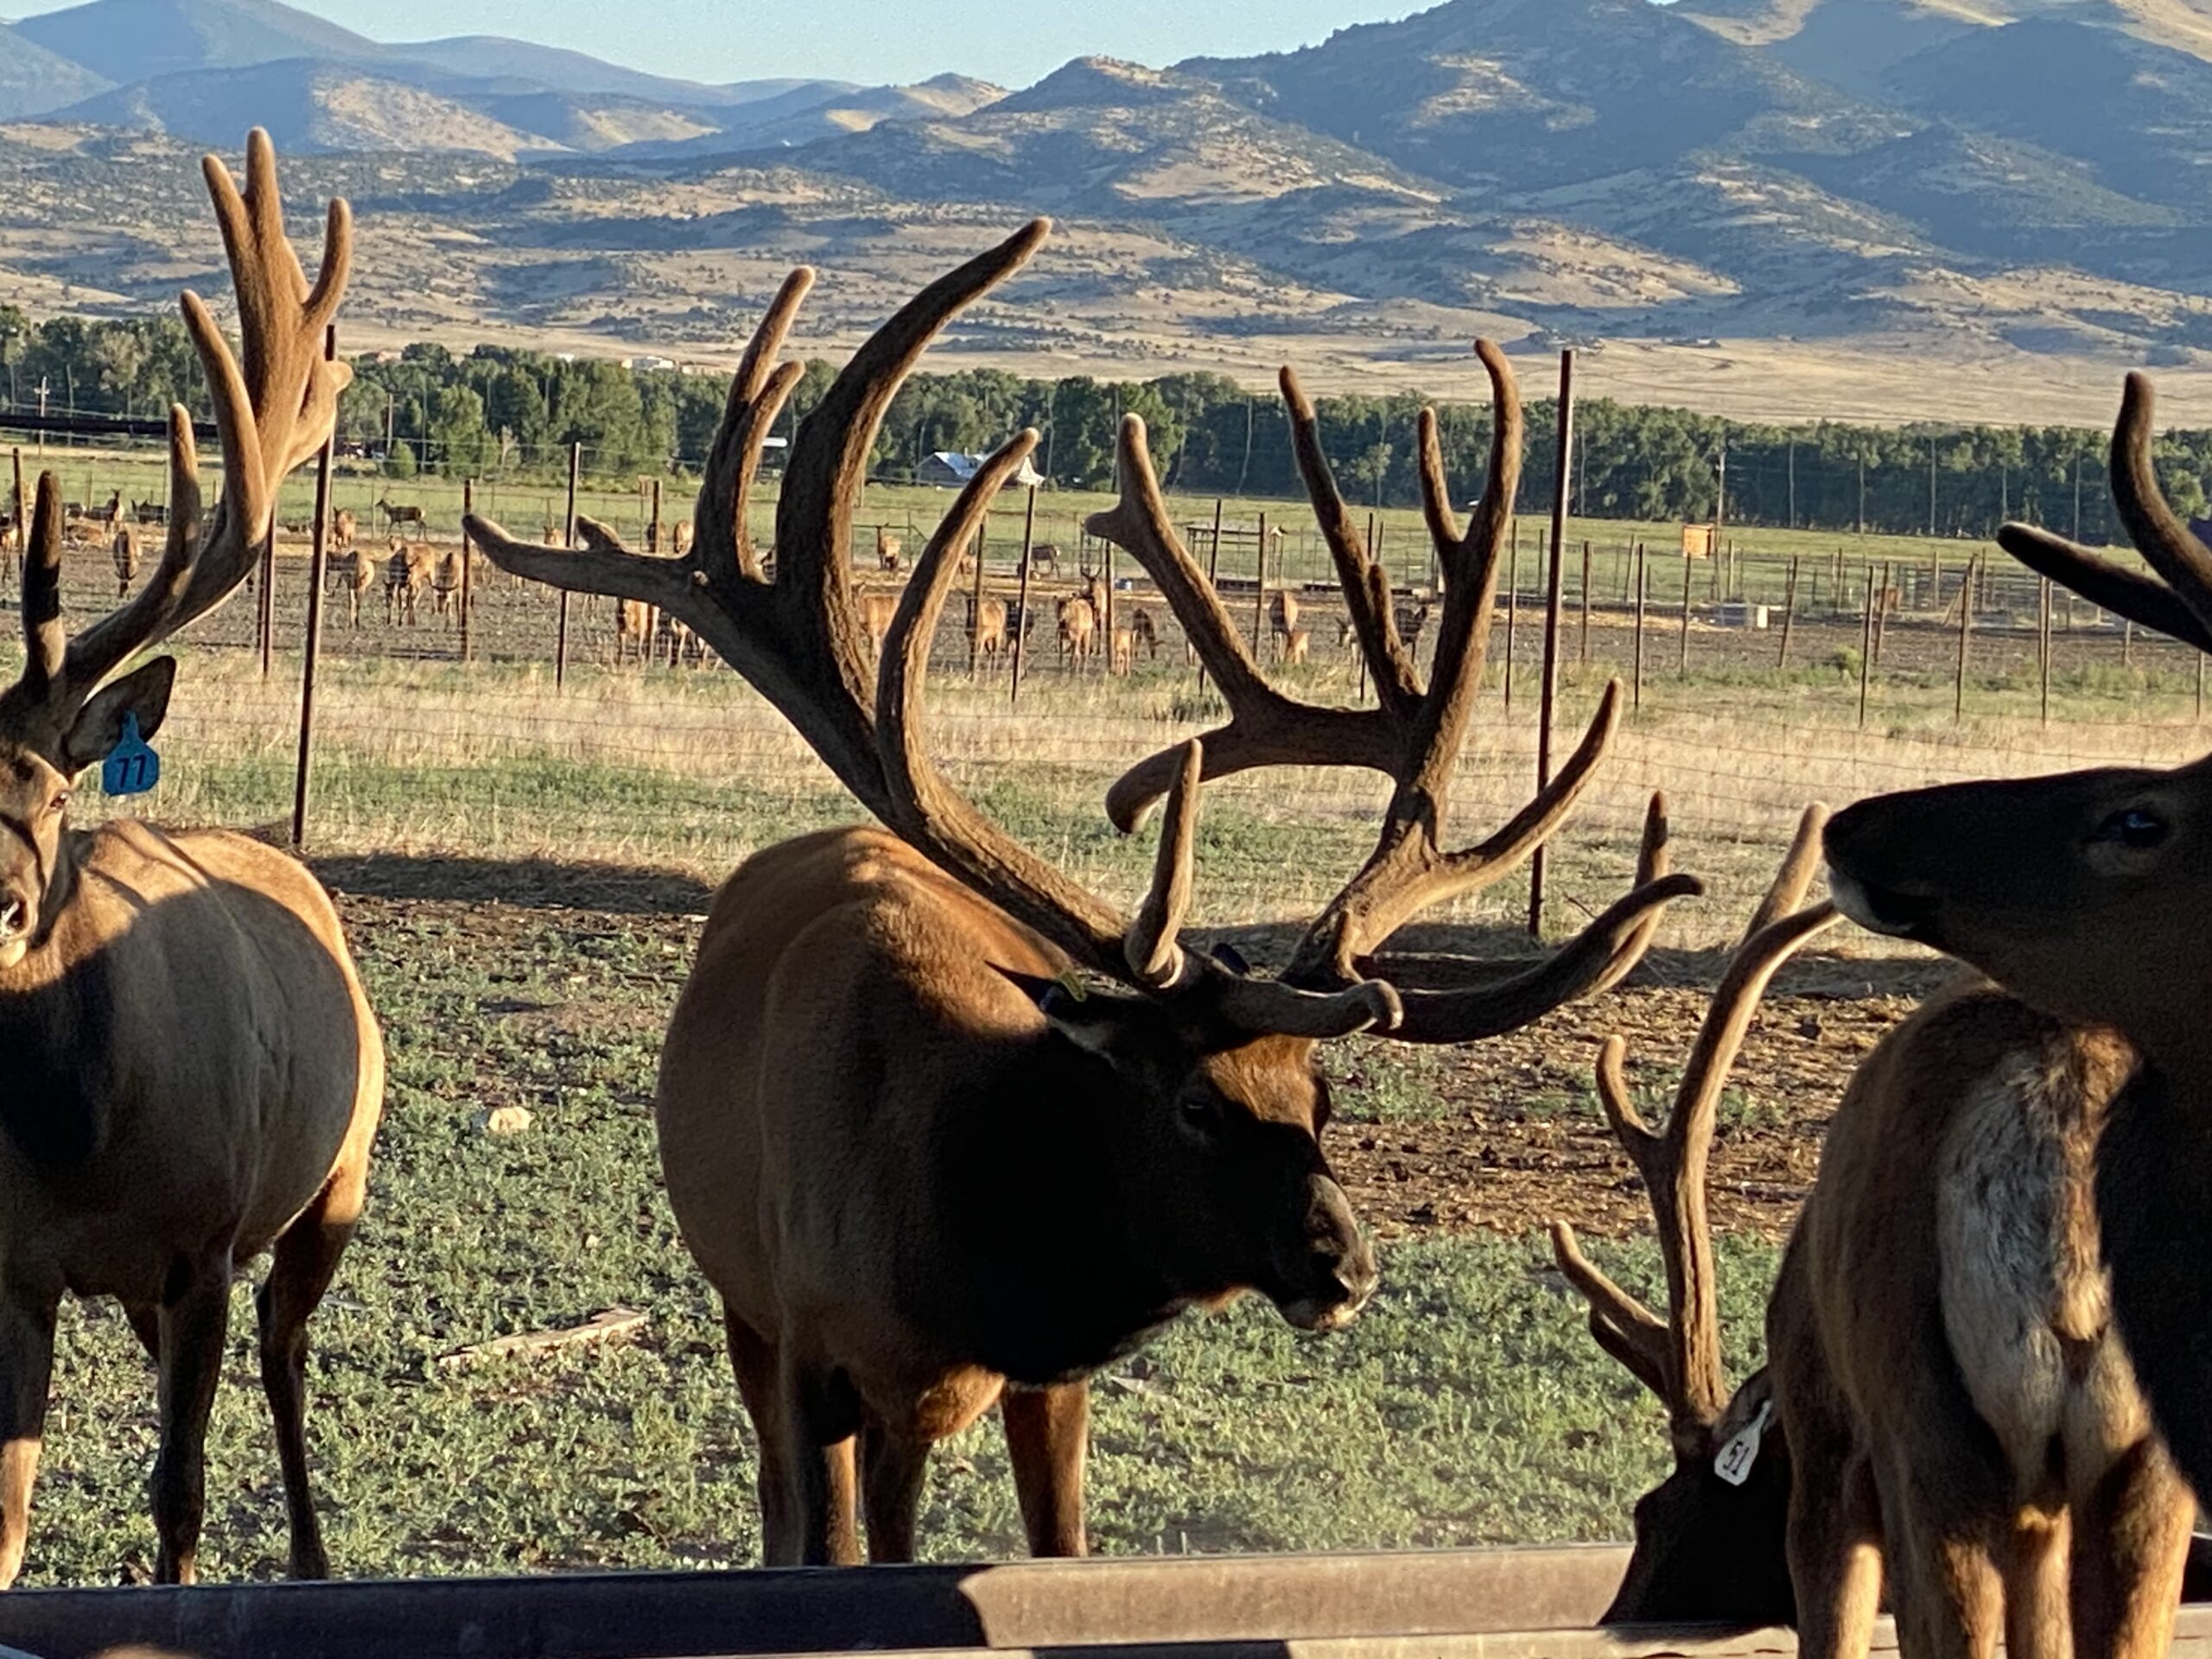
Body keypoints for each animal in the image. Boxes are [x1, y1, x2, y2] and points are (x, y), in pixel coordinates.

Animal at [0, 126, 380, 1583]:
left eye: (54, 791)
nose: (3, 909)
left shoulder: (203, 1247)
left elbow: (178, 1495)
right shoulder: (14, 1269)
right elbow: (11, 1508)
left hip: (335, 1175)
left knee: (286, 1350)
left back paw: (317, 1559)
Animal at [457, 221, 1681, 1574]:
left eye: (1323, 1097)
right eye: (1197, 1103)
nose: (1348, 1265)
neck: (967, 1253)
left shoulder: (1041, 1384)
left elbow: (1055, 1551)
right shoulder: (821, 1349)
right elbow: (835, 1545)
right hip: (746, 1304)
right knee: (785, 1504)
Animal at [1557, 800, 2194, 1654]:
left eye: (1649, 1509)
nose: (1621, 1615)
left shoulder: (1828, 1439)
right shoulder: (2044, 1513)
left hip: (1924, 1418)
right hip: (2147, 1458)